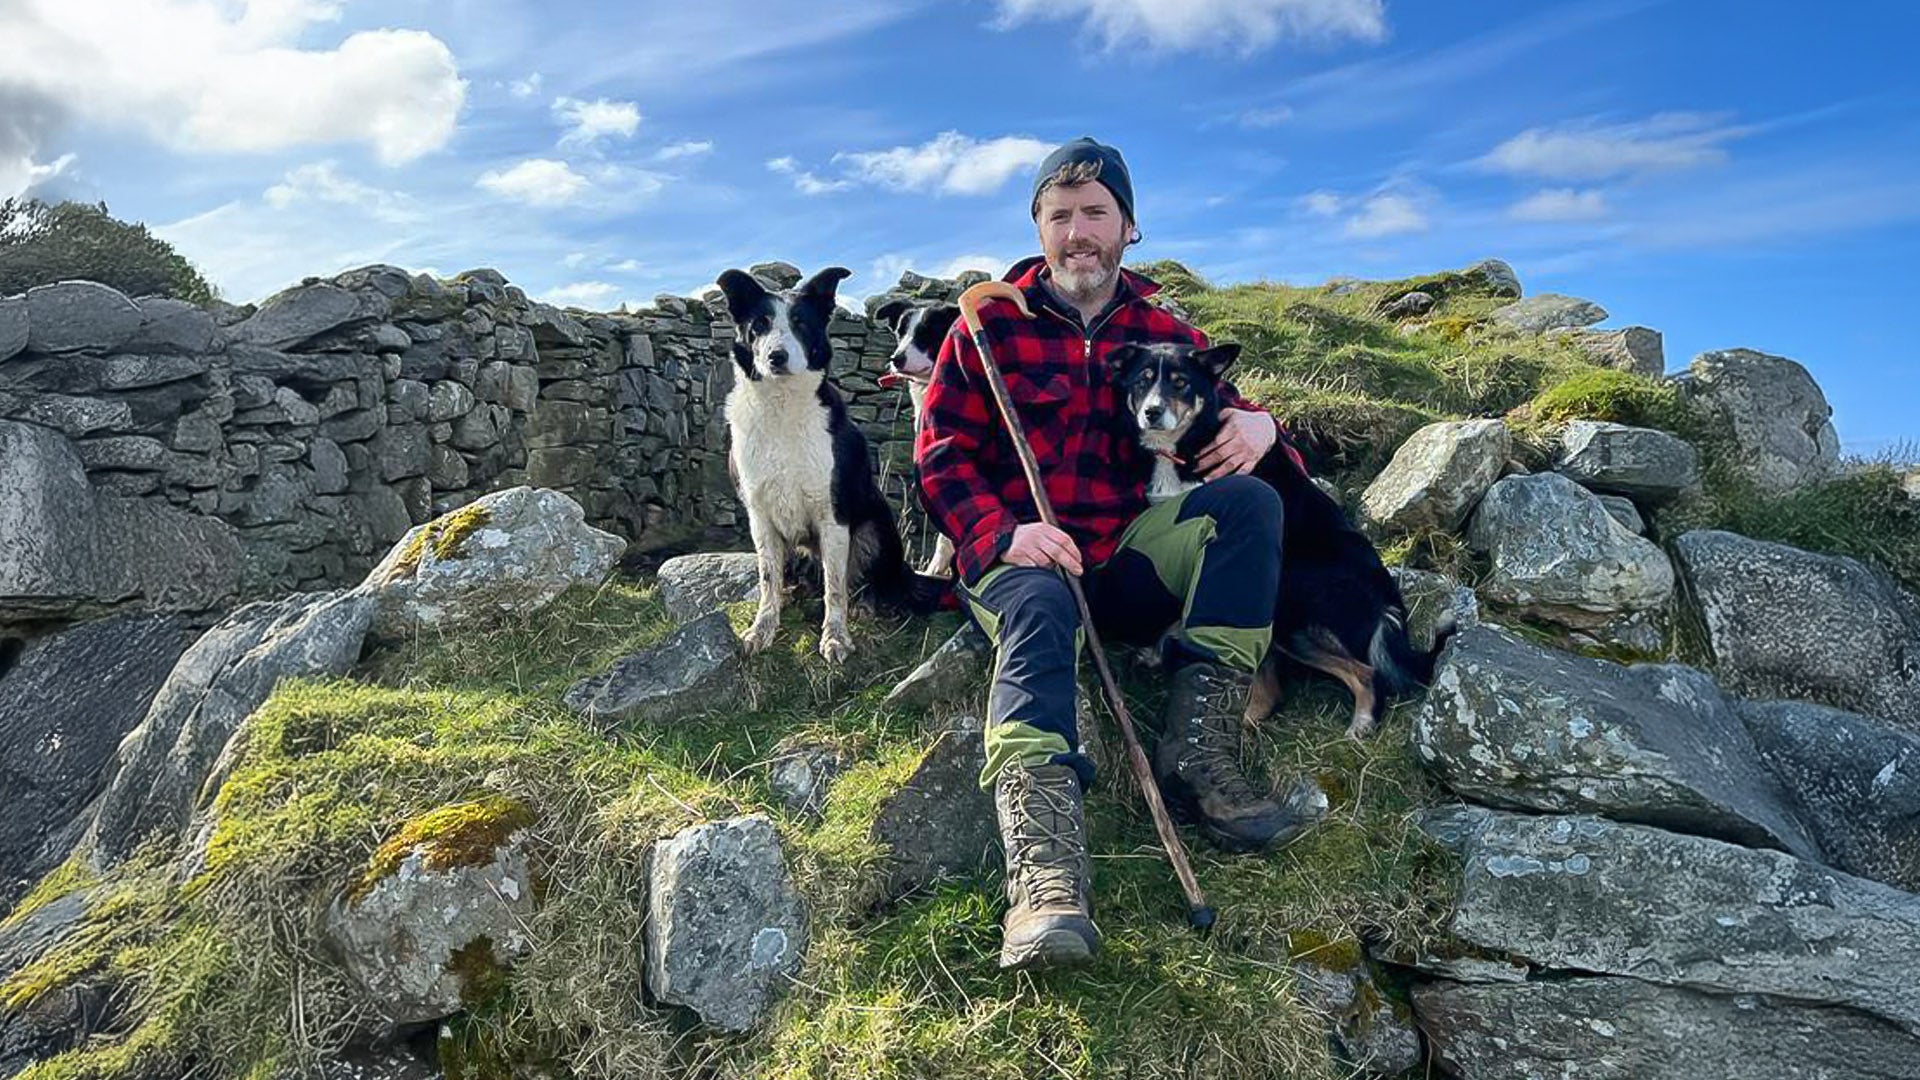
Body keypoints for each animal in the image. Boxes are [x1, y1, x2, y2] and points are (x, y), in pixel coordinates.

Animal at [716, 266, 940, 662]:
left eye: (800, 323)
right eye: (759, 324)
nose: (776, 357)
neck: (782, 407)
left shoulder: (833, 515)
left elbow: (835, 587)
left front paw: (835, 636)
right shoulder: (760, 517)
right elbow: (768, 581)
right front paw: (762, 629)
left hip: (873, 528)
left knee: (872, 584)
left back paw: (866, 604)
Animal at [1106, 341, 1455, 738]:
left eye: (1180, 383)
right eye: (1142, 381)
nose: (1152, 412)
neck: (1183, 445)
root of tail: (1386, 600)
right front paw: (1157, 646)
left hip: (1289, 598)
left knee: (1362, 673)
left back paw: (1361, 723)